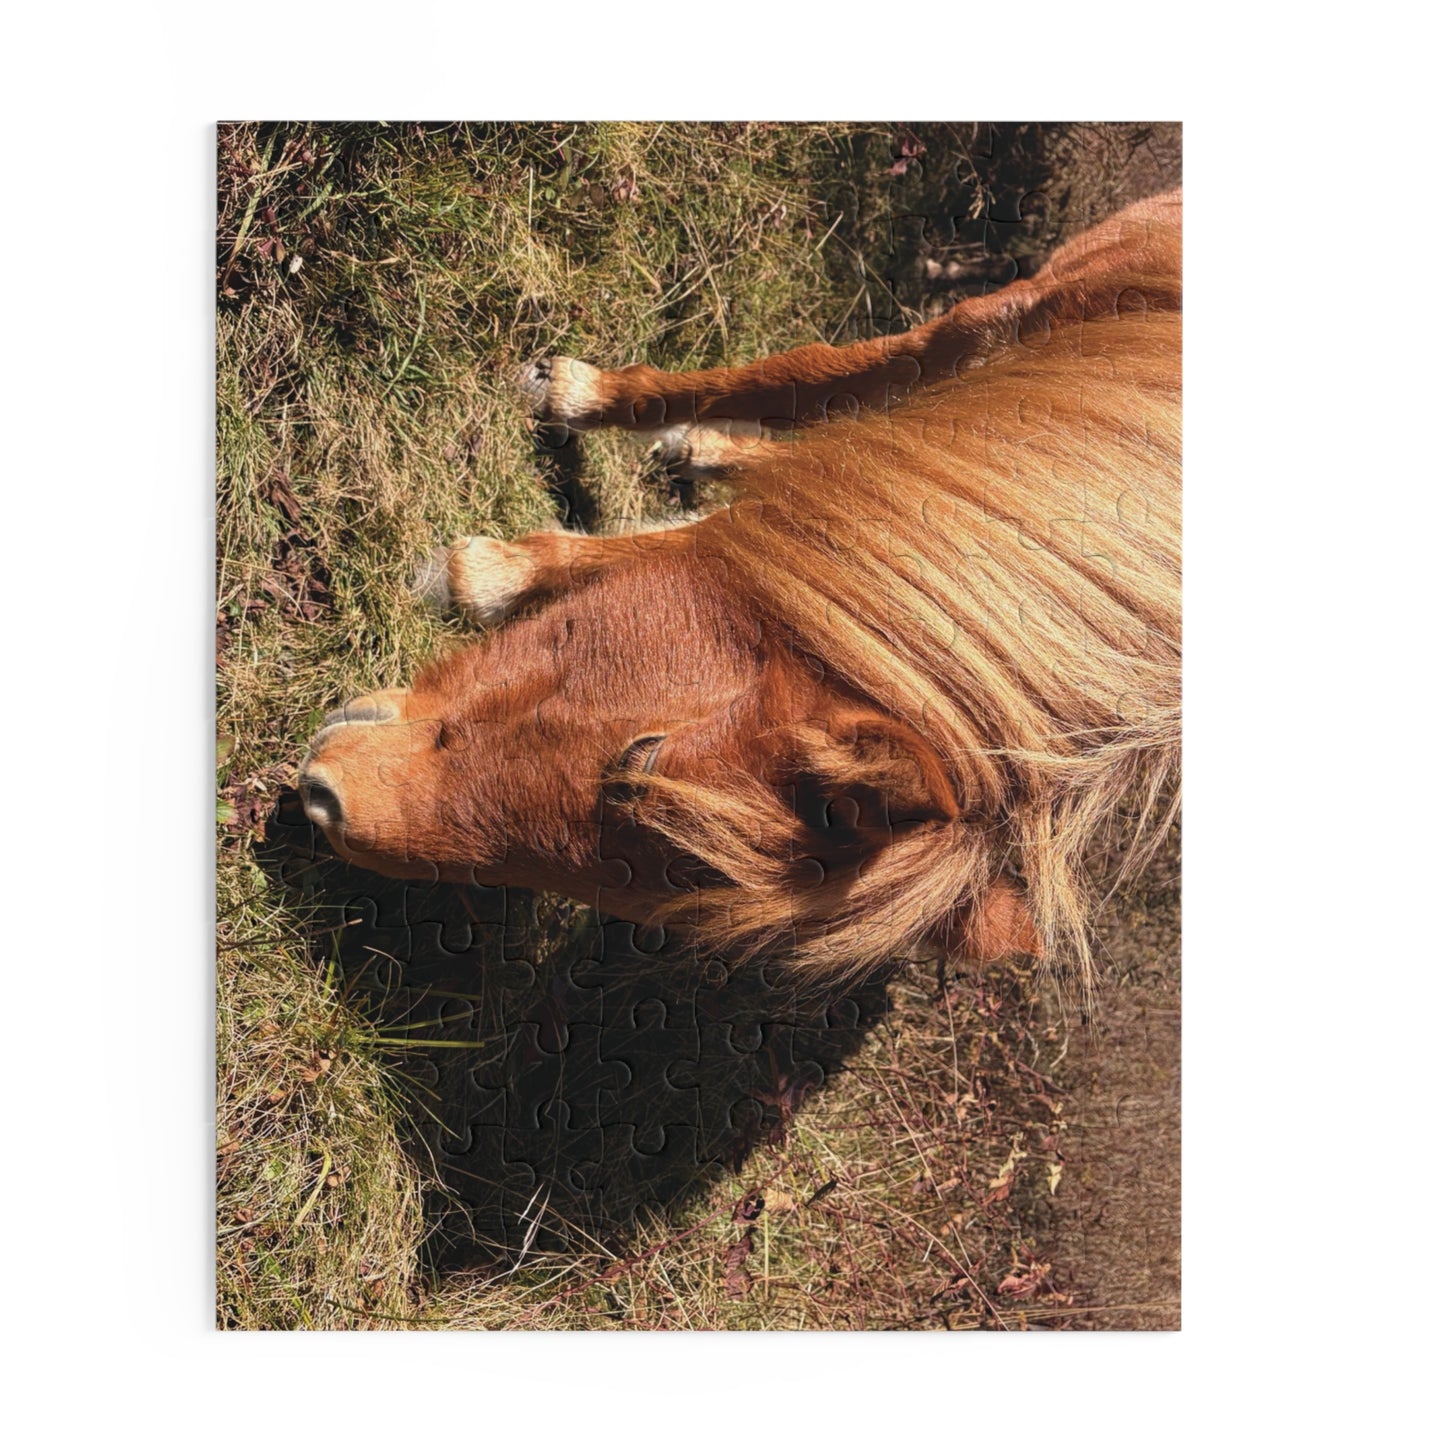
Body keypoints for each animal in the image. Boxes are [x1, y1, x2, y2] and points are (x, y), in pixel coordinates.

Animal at [298, 190, 1181, 986]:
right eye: (639, 759)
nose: (328, 803)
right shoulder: (989, 325)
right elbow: (804, 381)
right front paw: (497, 559)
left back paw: (706, 451)